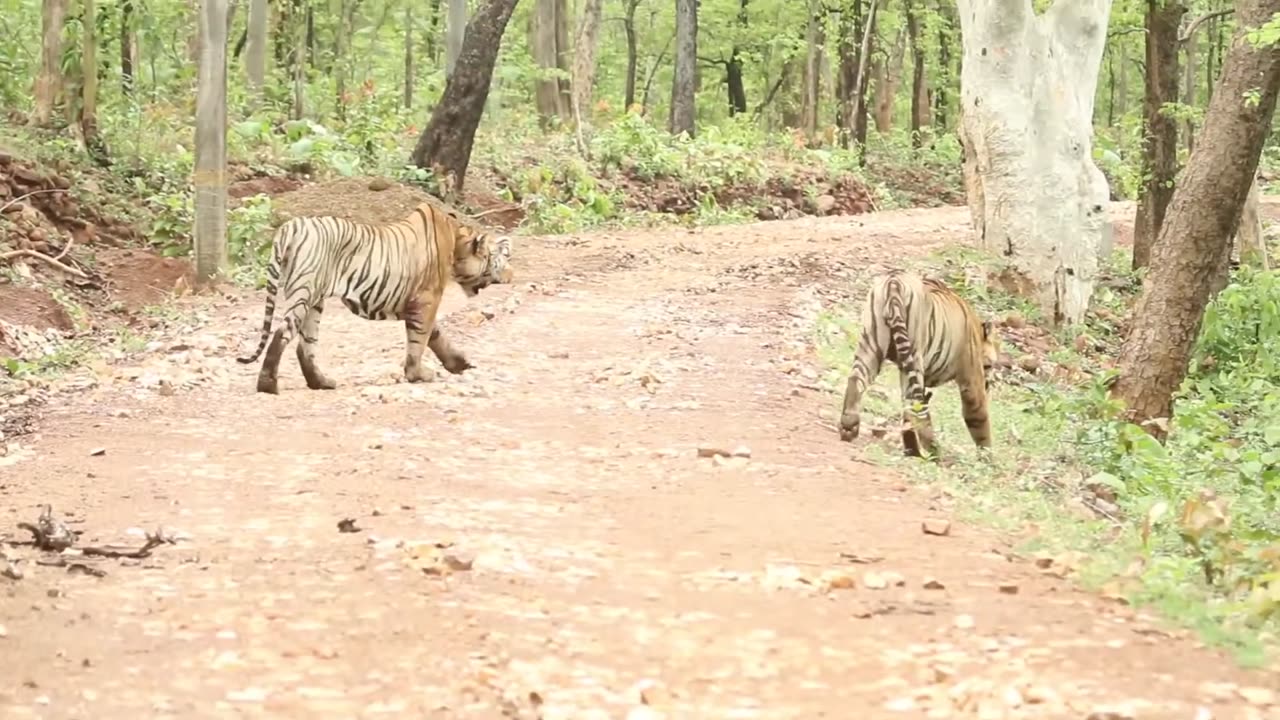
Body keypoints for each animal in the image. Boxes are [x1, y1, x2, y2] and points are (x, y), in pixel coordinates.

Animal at [232, 199, 512, 392]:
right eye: (495, 258)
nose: (511, 275)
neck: (456, 240)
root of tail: (290, 227)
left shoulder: (414, 304)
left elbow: (434, 334)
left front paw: (458, 363)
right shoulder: (427, 300)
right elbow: (419, 340)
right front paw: (418, 375)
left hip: (315, 301)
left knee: (305, 345)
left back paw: (321, 382)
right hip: (305, 292)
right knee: (283, 333)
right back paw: (268, 385)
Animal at [839, 266, 998, 456]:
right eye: (989, 366)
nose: (988, 384)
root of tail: (894, 281)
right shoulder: (971, 380)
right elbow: (979, 418)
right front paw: (988, 458)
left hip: (871, 344)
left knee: (856, 380)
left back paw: (849, 427)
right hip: (914, 355)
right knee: (913, 403)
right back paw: (932, 449)